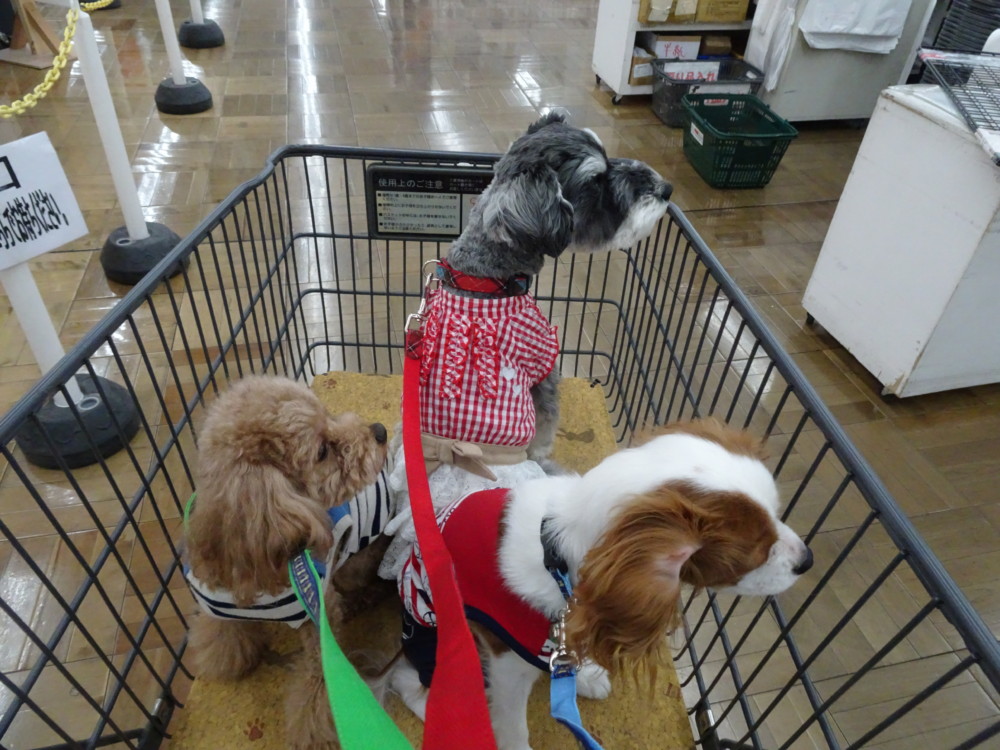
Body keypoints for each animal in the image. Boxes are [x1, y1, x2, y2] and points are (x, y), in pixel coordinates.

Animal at [183, 375, 392, 749]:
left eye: (329, 413)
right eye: (322, 452)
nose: (380, 431)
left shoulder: (319, 617)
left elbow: (320, 686)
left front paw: (317, 734)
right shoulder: (218, 602)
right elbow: (222, 633)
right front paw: (223, 659)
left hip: (356, 564)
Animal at [380, 419, 814, 750]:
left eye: (777, 514)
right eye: (754, 551)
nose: (807, 560)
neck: (555, 555)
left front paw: (585, 674)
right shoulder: (507, 660)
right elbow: (513, 722)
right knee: (408, 679)